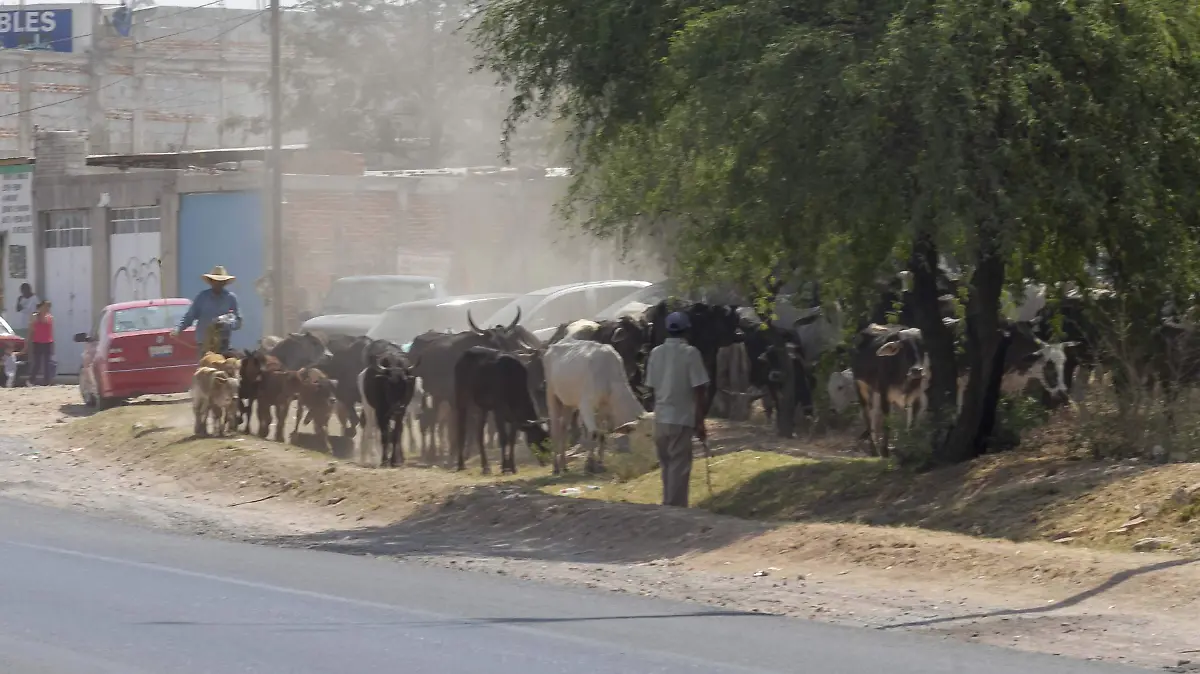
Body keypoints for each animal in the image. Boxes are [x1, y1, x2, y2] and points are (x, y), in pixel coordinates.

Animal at [544, 335, 648, 472]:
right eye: (647, 435)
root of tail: (552, 347)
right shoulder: (586, 405)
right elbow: (593, 433)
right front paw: (589, 465)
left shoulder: (604, 408)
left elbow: (601, 435)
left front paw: (599, 464)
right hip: (551, 395)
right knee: (555, 430)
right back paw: (556, 467)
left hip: (568, 403)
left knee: (564, 428)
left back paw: (564, 465)